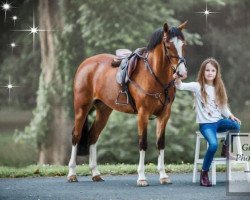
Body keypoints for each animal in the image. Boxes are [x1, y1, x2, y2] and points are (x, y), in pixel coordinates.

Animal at [67, 21, 187, 185]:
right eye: (168, 46)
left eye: (183, 44)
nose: (182, 73)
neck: (154, 75)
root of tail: (85, 63)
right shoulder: (143, 114)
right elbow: (143, 143)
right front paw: (141, 177)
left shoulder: (164, 114)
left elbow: (160, 143)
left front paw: (163, 176)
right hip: (81, 107)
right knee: (76, 135)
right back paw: (72, 173)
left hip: (103, 111)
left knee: (93, 136)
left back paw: (95, 173)